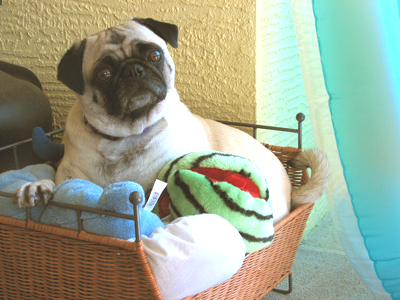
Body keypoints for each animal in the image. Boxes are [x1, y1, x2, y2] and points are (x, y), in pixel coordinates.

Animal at [14, 18, 330, 223]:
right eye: (104, 74)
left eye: (155, 54)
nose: (133, 70)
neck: (124, 136)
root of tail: (291, 190)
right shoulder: (69, 175)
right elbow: (56, 183)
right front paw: (37, 188)